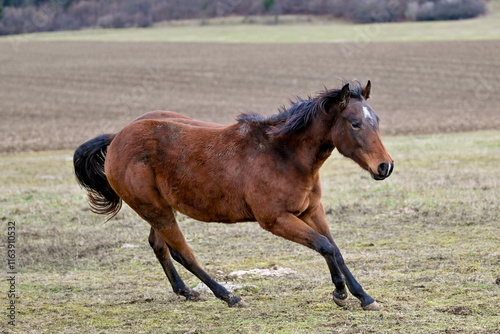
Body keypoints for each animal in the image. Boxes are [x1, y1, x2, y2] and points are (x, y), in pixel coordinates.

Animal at [74, 81, 394, 310]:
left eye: (376, 120)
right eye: (355, 123)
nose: (385, 166)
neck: (284, 155)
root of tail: (117, 137)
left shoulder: (311, 210)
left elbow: (335, 249)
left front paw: (363, 296)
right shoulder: (276, 220)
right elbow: (324, 247)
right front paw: (340, 293)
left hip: (161, 209)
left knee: (159, 245)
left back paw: (186, 291)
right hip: (156, 210)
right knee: (182, 252)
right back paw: (228, 296)